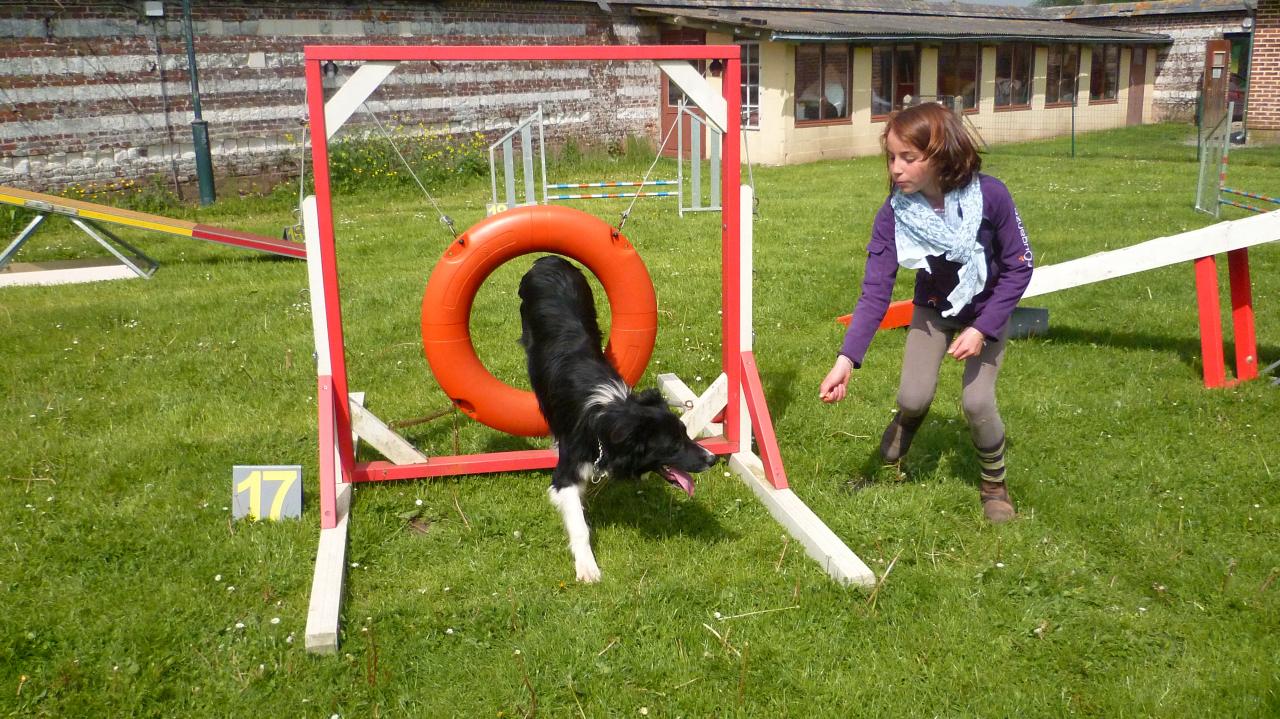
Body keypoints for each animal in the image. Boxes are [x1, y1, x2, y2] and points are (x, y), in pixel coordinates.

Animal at [519, 254, 721, 578]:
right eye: (673, 445)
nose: (712, 459)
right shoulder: (567, 470)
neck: (609, 418)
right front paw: (587, 567)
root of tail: (548, 259)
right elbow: (579, 523)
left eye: (686, 433)